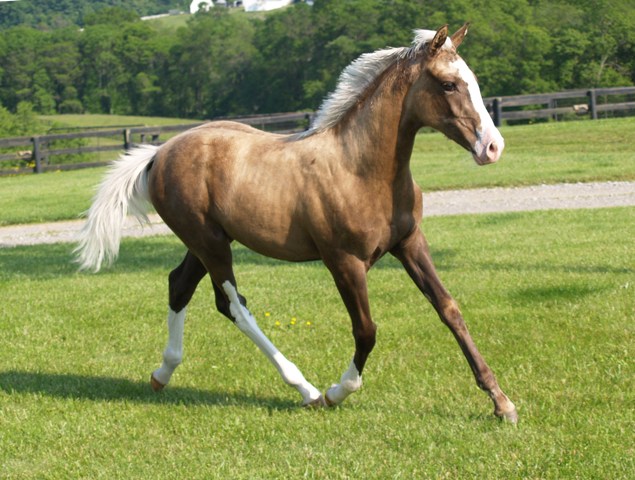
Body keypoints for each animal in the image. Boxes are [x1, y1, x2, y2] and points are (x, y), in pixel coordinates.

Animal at [77, 25, 520, 424]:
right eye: (448, 84)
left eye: (474, 81)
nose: (493, 147)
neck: (359, 169)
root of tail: (160, 152)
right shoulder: (343, 261)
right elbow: (366, 330)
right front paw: (337, 392)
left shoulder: (410, 243)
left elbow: (449, 309)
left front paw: (501, 402)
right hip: (210, 243)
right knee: (233, 305)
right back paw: (305, 389)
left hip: (206, 243)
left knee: (179, 285)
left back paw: (162, 373)